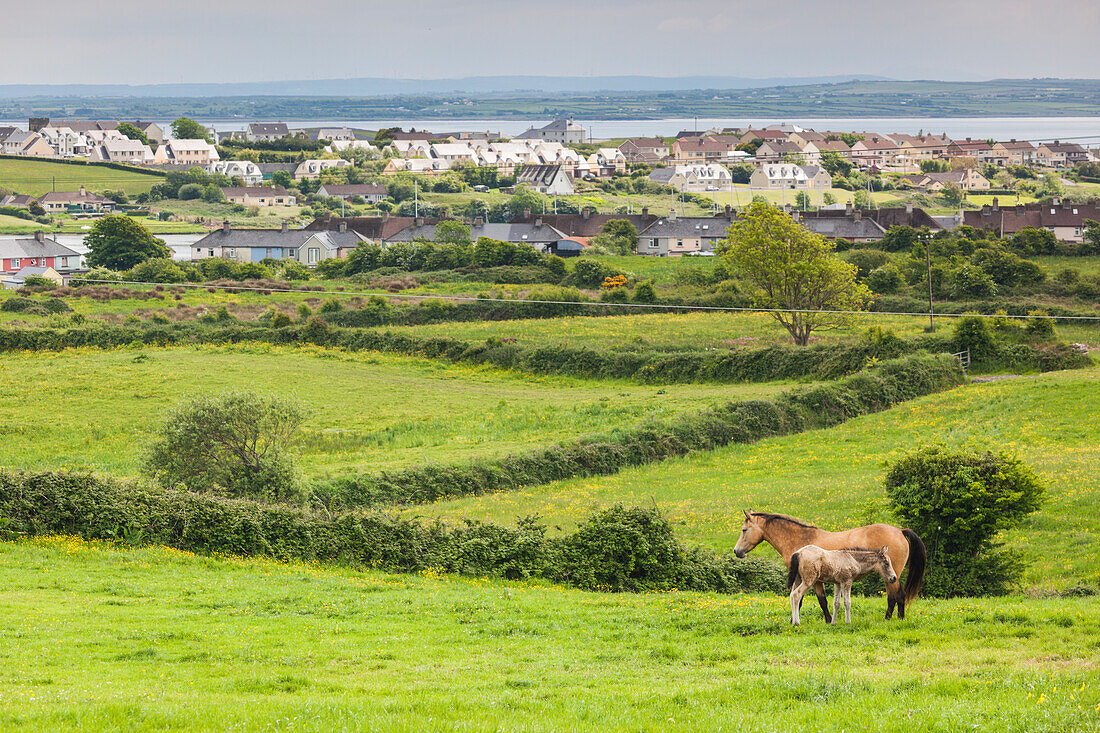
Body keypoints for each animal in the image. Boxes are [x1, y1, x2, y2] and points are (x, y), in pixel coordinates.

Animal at [734, 510, 924, 620]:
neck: (801, 540)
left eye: (744, 530)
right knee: (894, 597)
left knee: (897, 596)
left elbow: (819, 601)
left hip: (891, 576)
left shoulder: (814, 580)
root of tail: (899, 531)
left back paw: (894, 619)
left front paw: (826, 620)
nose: (737, 551)